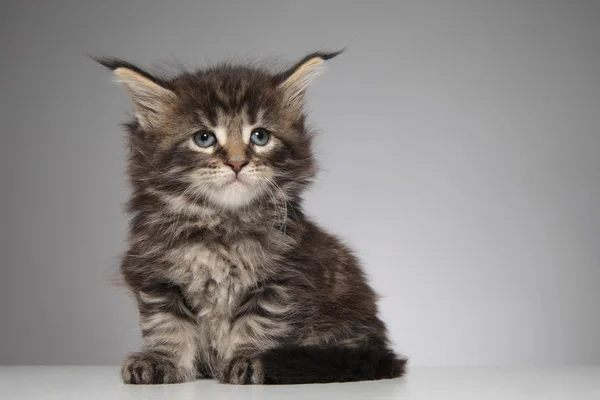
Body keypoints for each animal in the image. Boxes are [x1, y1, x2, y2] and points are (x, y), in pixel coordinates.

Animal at [97, 50, 408, 384]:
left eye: (260, 136)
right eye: (203, 138)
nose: (237, 163)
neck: (220, 228)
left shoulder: (283, 278)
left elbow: (257, 324)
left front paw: (248, 361)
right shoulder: (155, 278)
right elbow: (167, 326)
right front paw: (159, 361)